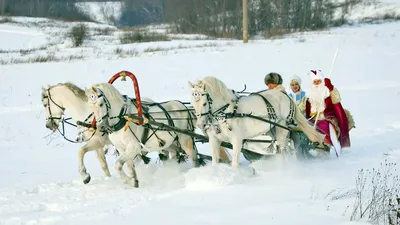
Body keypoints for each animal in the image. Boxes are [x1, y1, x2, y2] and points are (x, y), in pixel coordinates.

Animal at [187, 76, 324, 168]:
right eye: (192, 103)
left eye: (204, 103)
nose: (200, 124)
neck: (226, 112)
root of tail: (285, 96)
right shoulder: (214, 140)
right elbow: (215, 162)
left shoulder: (237, 140)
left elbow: (235, 163)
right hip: (272, 129)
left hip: (282, 127)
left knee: (282, 149)